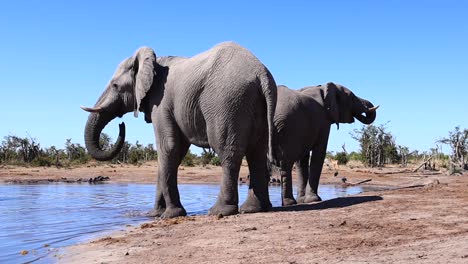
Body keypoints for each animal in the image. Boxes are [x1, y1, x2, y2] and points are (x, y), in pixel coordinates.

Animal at [80, 41, 278, 219]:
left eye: (115, 85)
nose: (121, 125)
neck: (154, 63)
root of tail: (261, 73)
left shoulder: (160, 103)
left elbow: (168, 147)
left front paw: (170, 215)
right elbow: (176, 152)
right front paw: (154, 214)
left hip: (227, 102)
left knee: (228, 152)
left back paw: (219, 212)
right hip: (255, 105)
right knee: (257, 153)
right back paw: (253, 209)